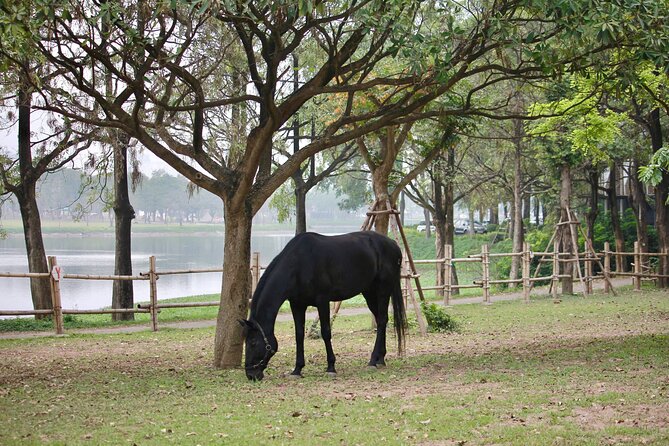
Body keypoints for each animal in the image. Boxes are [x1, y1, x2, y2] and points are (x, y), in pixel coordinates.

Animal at [240, 231, 407, 381]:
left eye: (253, 342)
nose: (251, 375)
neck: (298, 264)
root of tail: (393, 245)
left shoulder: (323, 301)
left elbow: (326, 332)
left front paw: (331, 367)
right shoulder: (297, 305)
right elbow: (299, 335)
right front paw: (297, 369)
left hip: (383, 291)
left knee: (382, 320)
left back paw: (373, 361)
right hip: (369, 293)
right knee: (381, 321)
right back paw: (380, 359)